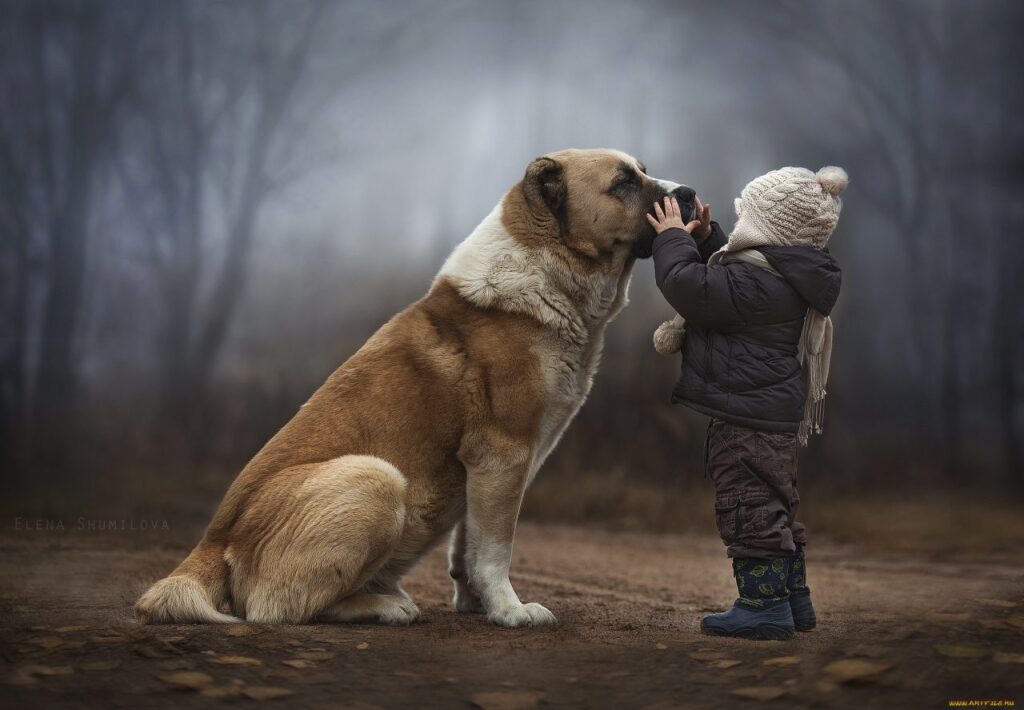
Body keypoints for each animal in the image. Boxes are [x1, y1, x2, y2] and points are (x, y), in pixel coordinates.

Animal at [136, 148, 696, 627]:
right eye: (623, 183)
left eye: (643, 171)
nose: (688, 193)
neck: (547, 270)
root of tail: (211, 543)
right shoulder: (504, 454)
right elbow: (496, 547)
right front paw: (511, 611)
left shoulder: (488, 469)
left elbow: (469, 543)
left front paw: (476, 603)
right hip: (376, 478)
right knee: (279, 608)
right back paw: (386, 605)